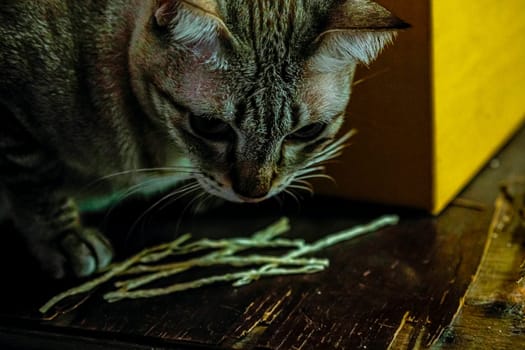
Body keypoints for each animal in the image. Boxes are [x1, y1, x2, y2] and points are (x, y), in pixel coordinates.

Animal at [0, 0, 406, 278]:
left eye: (306, 132)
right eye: (209, 126)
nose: (254, 194)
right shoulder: (13, 121)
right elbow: (37, 180)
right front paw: (63, 239)